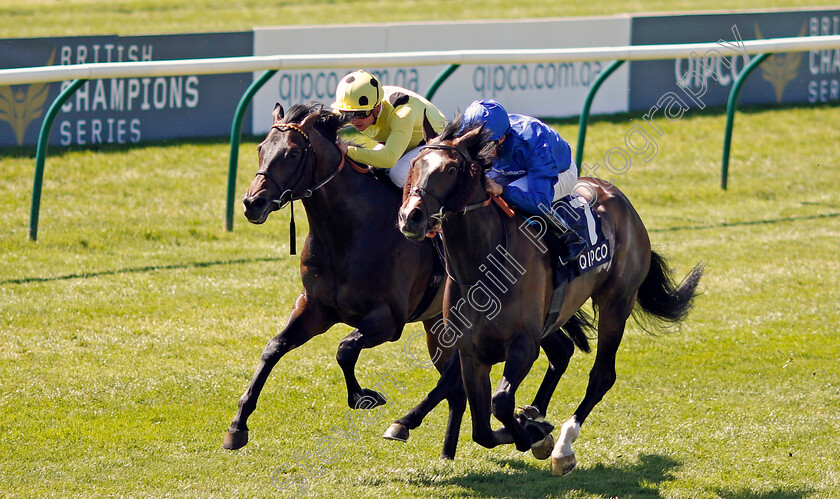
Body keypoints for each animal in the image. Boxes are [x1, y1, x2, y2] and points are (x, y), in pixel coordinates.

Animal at [398, 117, 704, 476]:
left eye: (449, 168)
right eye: (415, 164)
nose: (410, 216)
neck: (482, 266)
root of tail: (622, 200)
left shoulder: (523, 345)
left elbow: (501, 403)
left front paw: (534, 434)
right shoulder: (471, 352)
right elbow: (482, 430)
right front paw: (531, 428)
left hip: (616, 304)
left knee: (601, 376)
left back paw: (563, 447)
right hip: (554, 318)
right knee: (562, 351)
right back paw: (536, 416)